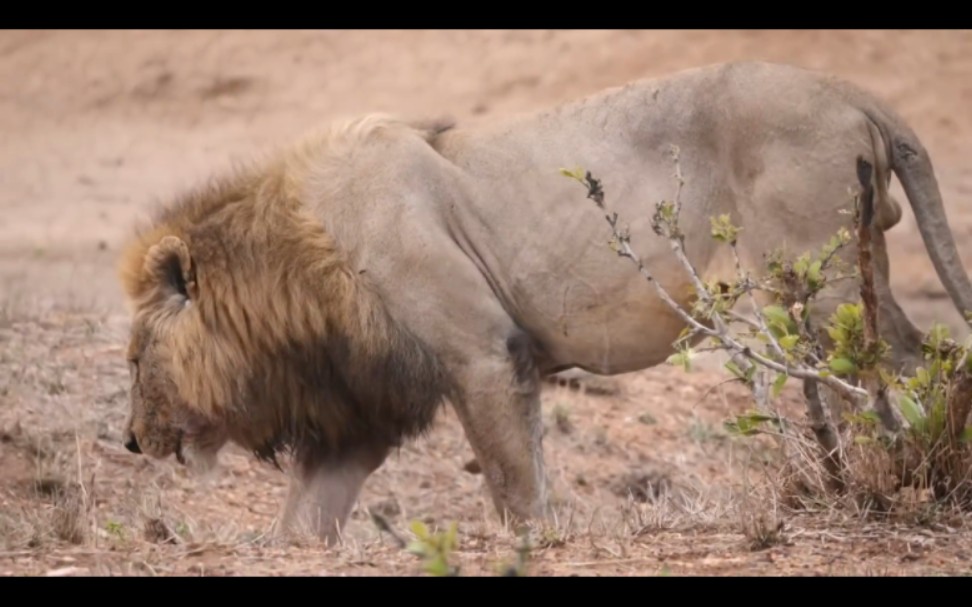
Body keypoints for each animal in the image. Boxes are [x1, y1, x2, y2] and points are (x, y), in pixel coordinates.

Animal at [119, 63, 972, 548]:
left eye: (133, 358)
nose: (128, 441)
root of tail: (851, 91)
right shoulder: (363, 406)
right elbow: (303, 519)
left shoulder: (481, 352)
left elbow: (511, 474)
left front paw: (538, 540)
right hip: (843, 281)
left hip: (818, 290)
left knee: (900, 367)